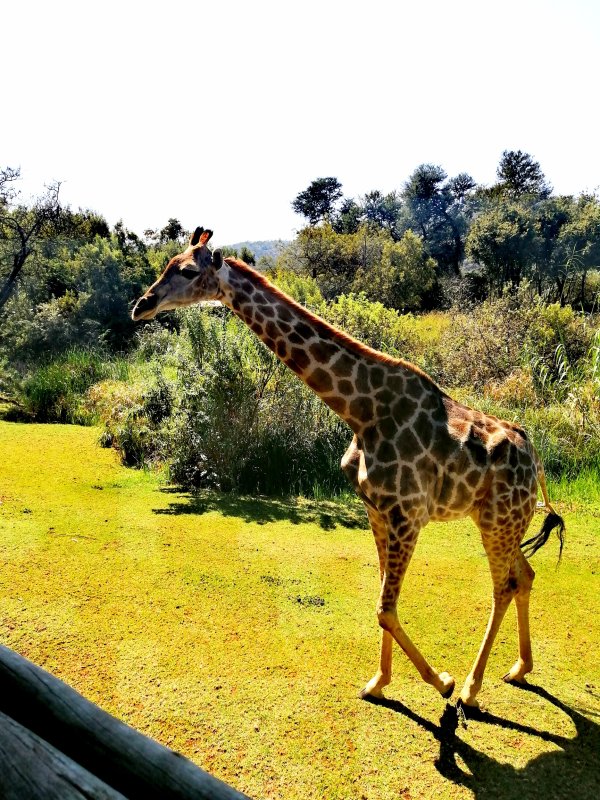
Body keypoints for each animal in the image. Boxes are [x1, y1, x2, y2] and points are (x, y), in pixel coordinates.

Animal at [132, 227, 565, 708]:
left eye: (188, 270)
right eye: (167, 264)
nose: (141, 305)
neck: (361, 411)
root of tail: (535, 459)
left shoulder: (408, 514)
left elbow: (385, 608)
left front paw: (442, 682)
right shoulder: (377, 510)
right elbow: (381, 600)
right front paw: (379, 682)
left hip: (498, 521)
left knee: (504, 584)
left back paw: (471, 689)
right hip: (501, 520)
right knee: (524, 575)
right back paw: (520, 668)